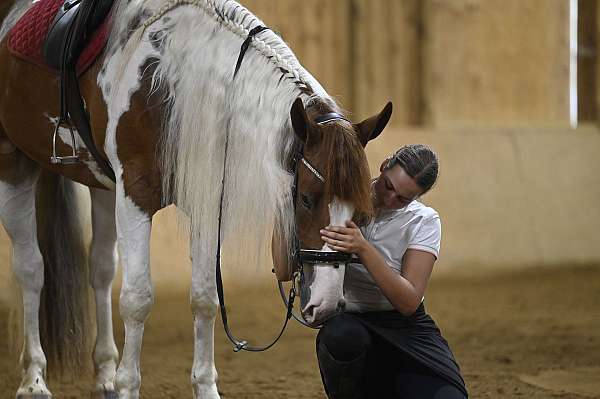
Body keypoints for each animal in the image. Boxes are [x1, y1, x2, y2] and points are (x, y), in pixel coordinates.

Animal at [0, 1, 394, 398]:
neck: (169, 80)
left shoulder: (206, 203)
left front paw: (204, 387)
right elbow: (137, 299)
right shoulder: (134, 195)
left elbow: (205, 299)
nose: (327, 305)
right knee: (31, 269)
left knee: (101, 269)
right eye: (308, 200)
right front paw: (128, 385)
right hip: (14, 165)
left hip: (100, 186)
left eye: (362, 213)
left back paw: (105, 375)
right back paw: (34, 379)